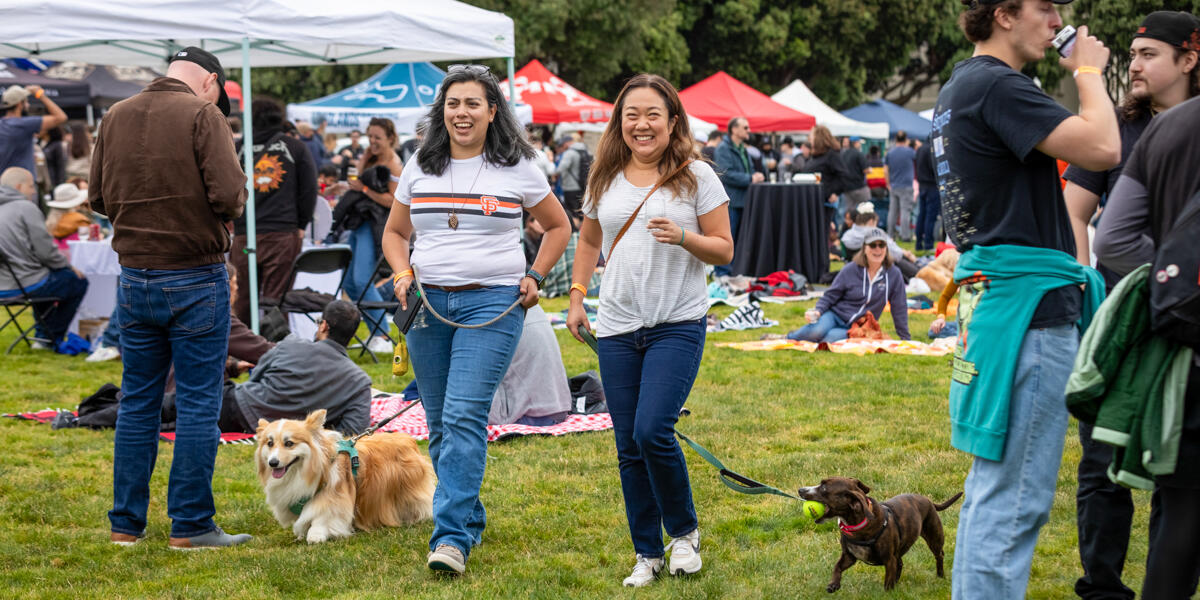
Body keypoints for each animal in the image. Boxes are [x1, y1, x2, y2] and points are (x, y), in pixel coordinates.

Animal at [255, 408, 434, 544]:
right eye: (269, 443)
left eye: (289, 443)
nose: (273, 463)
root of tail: (407, 439)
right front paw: (302, 534)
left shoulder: (332, 496)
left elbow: (321, 517)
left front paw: (315, 536)